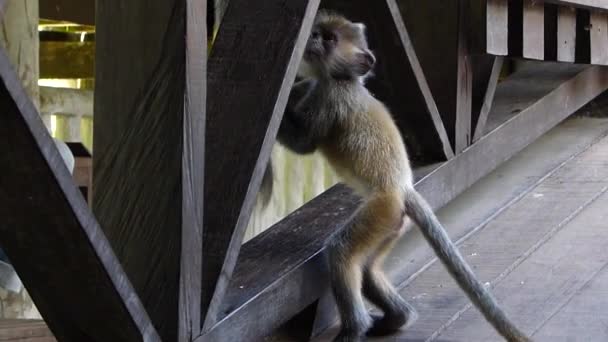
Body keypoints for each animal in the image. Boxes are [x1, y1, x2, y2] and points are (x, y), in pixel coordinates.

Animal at [274, 10, 528, 342]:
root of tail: (403, 188)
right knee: (368, 271)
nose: (312, 38)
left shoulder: (331, 98)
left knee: (341, 252)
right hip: (393, 223)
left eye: (328, 39)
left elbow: (304, 145)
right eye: (317, 32)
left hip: (382, 209)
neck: (345, 81)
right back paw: (396, 318)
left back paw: (355, 327)